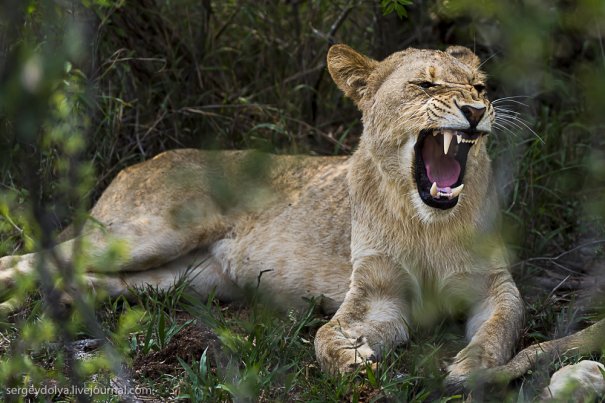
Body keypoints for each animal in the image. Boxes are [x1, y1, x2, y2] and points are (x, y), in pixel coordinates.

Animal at [0, 43, 524, 388]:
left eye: (479, 87)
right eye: (425, 84)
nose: (476, 110)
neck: (426, 224)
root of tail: (136, 164)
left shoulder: (492, 283)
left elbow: (503, 326)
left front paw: (472, 368)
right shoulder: (377, 293)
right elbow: (324, 335)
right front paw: (352, 363)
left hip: (184, 278)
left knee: (91, 276)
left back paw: (66, 301)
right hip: (150, 233)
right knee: (33, 257)